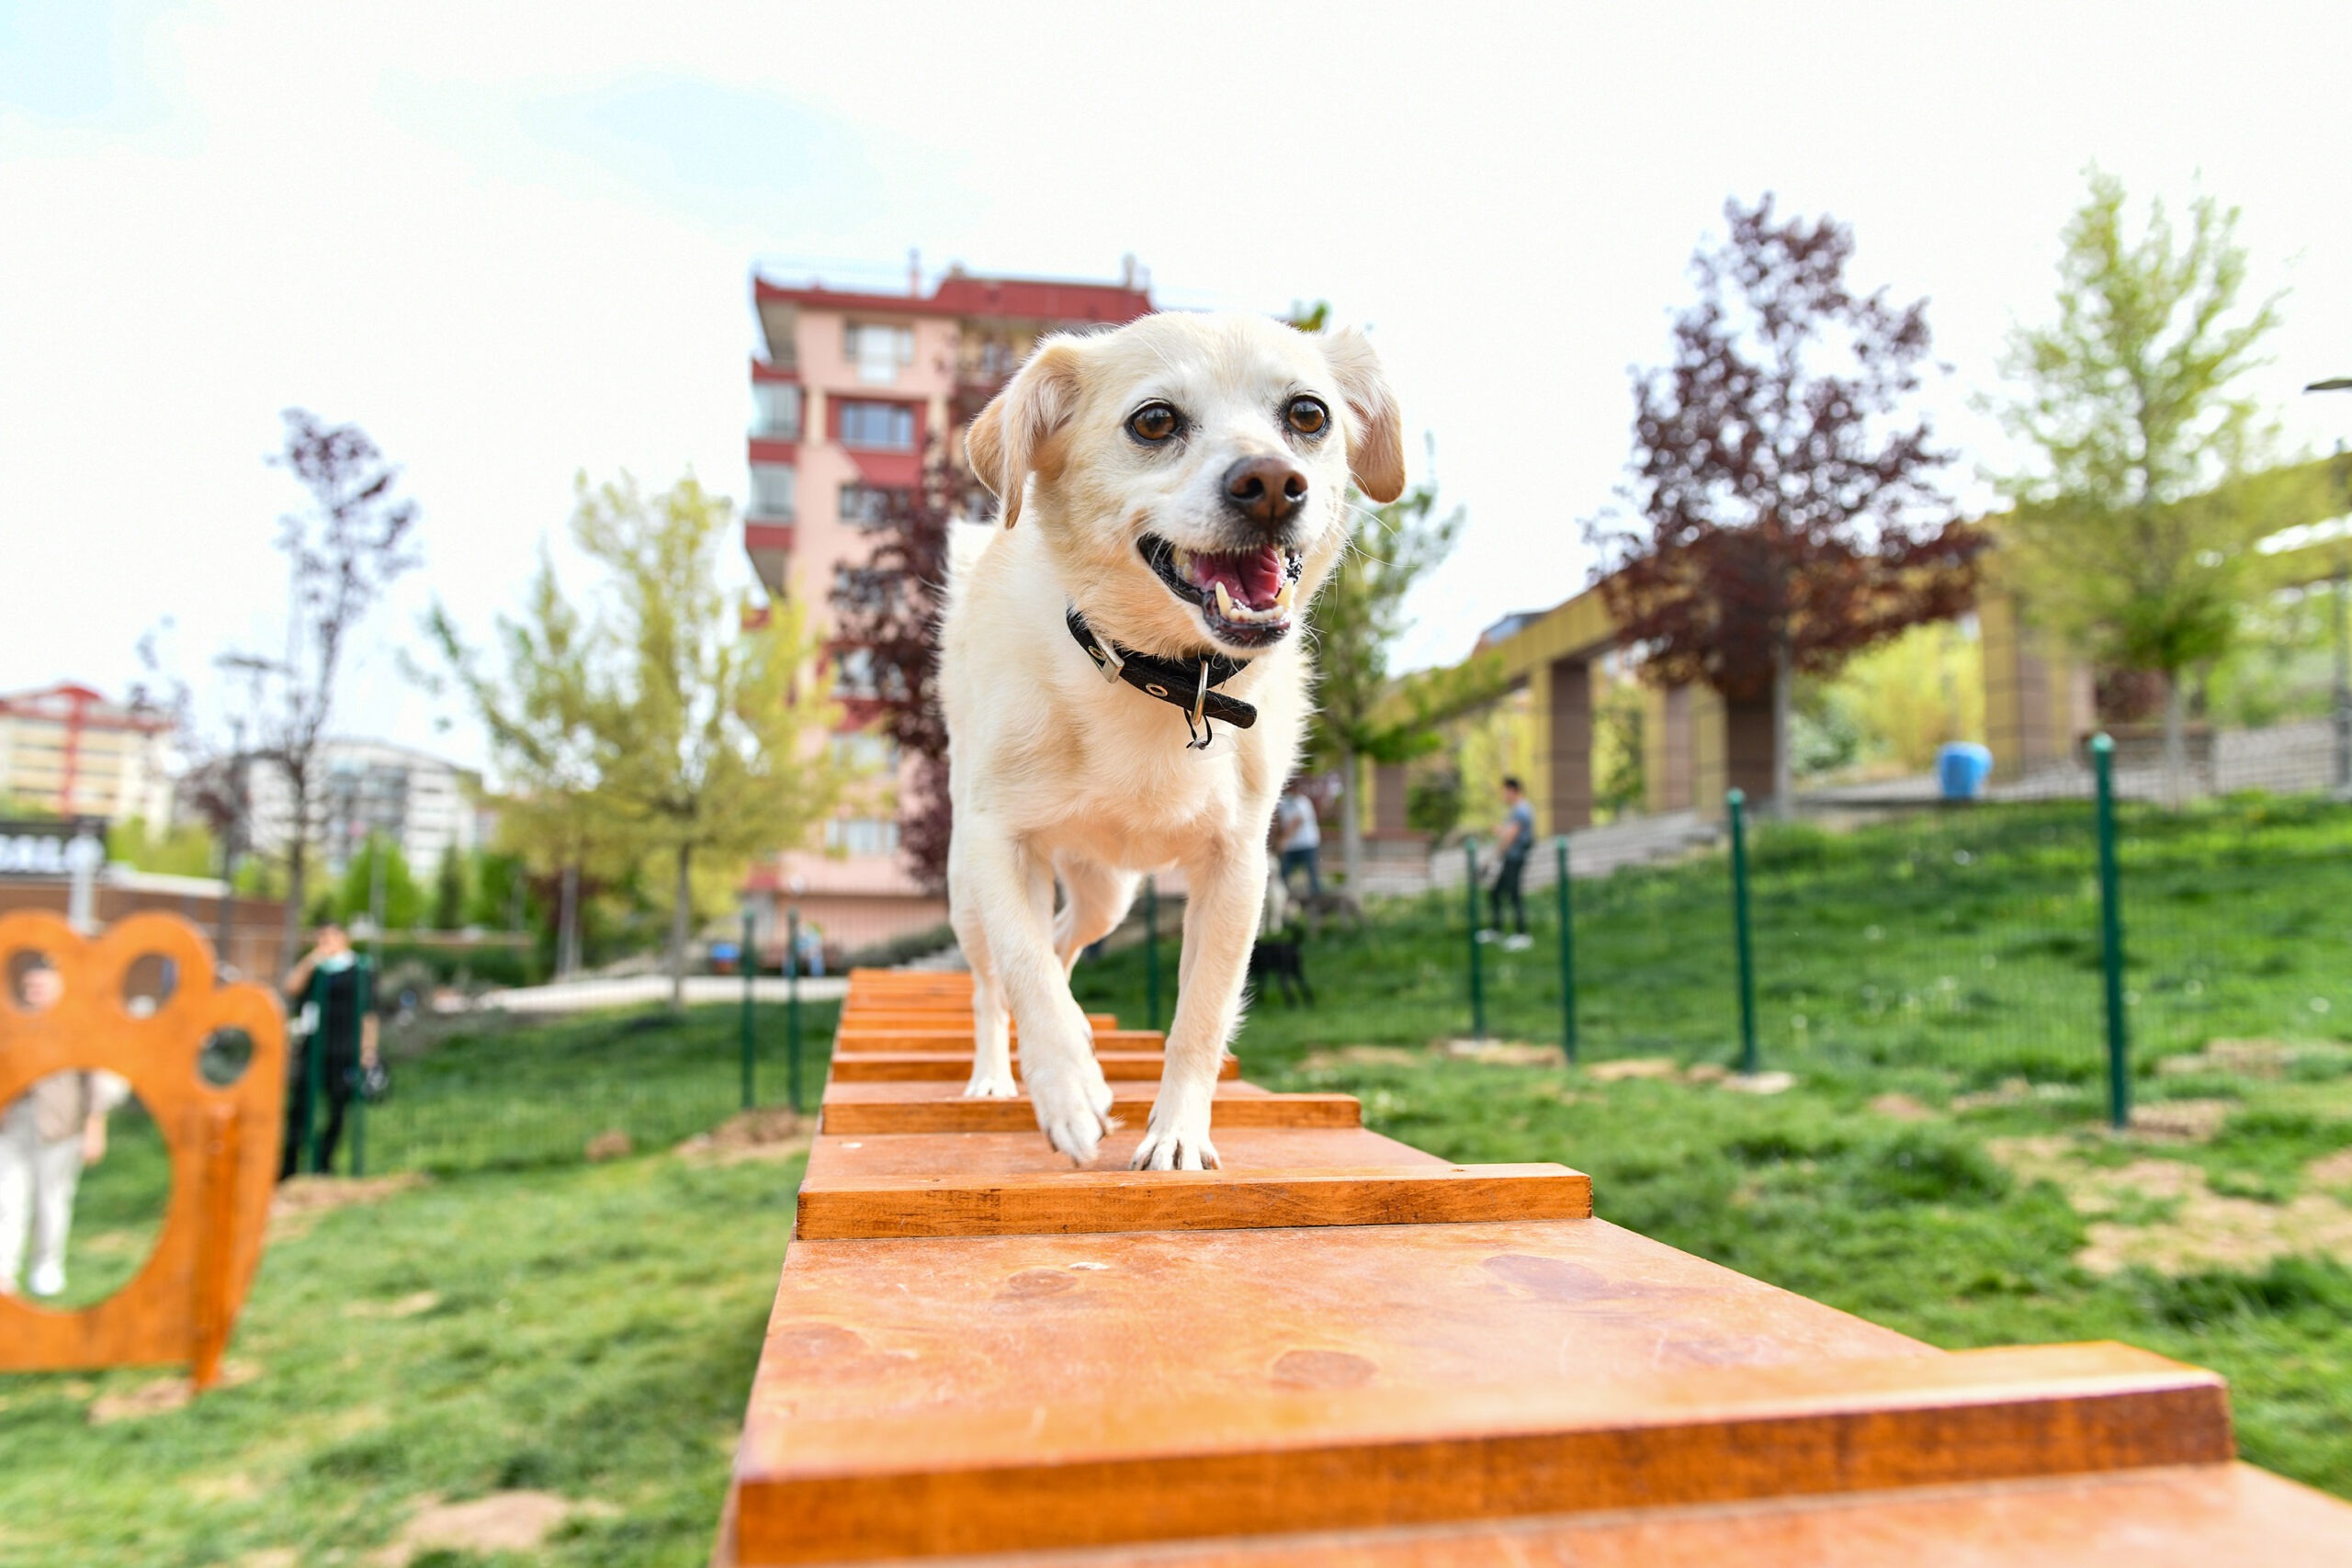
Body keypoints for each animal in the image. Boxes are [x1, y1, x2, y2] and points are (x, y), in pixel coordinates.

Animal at [935, 310, 1401, 1166]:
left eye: (1308, 414)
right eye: (1154, 421)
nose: (1272, 482)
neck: (1164, 676)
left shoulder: (1237, 867)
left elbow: (1201, 1015)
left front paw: (1178, 1132)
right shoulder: (998, 844)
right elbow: (1023, 970)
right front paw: (1067, 1088)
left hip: (1106, 894)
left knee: (1063, 940)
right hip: (969, 891)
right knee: (995, 979)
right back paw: (996, 1076)